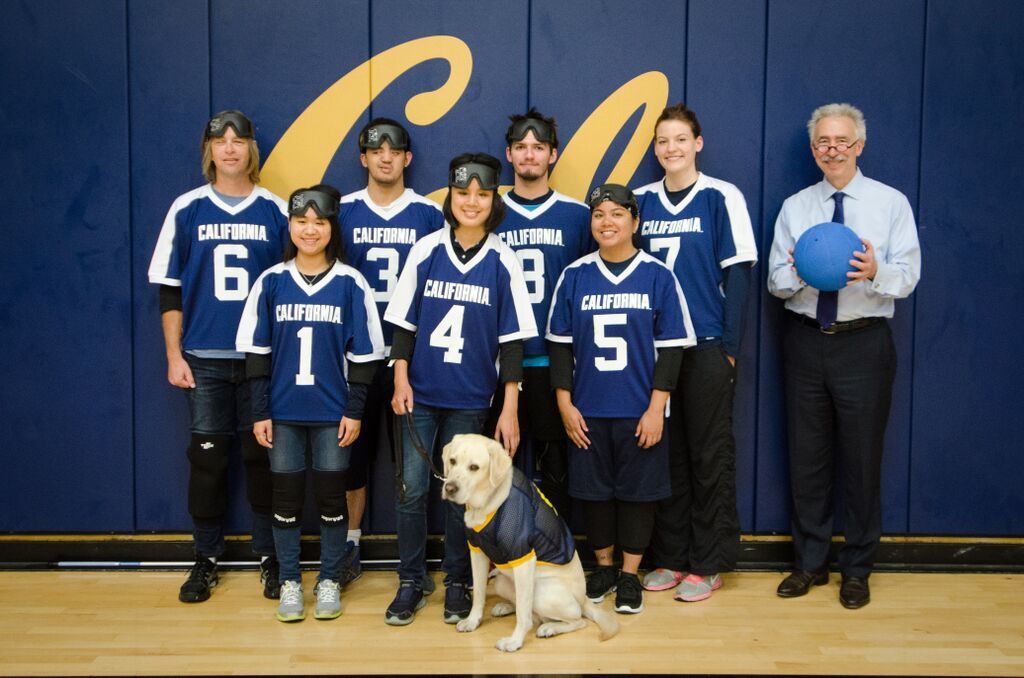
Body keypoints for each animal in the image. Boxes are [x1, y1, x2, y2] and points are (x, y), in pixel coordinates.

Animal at [440, 436, 614, 655]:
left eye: (474, 467)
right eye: (452, 461)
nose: (449, 488)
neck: (487, 503)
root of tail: (584, 599)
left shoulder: (523, 558)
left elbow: (523, 614)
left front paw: (515, 641)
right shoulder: (477, 552)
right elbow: (479, 593)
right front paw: (473, 621)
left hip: (542, 593)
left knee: (575, 619)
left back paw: (550, 628)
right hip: (502, 581)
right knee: (531, 611)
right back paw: (506, 607)